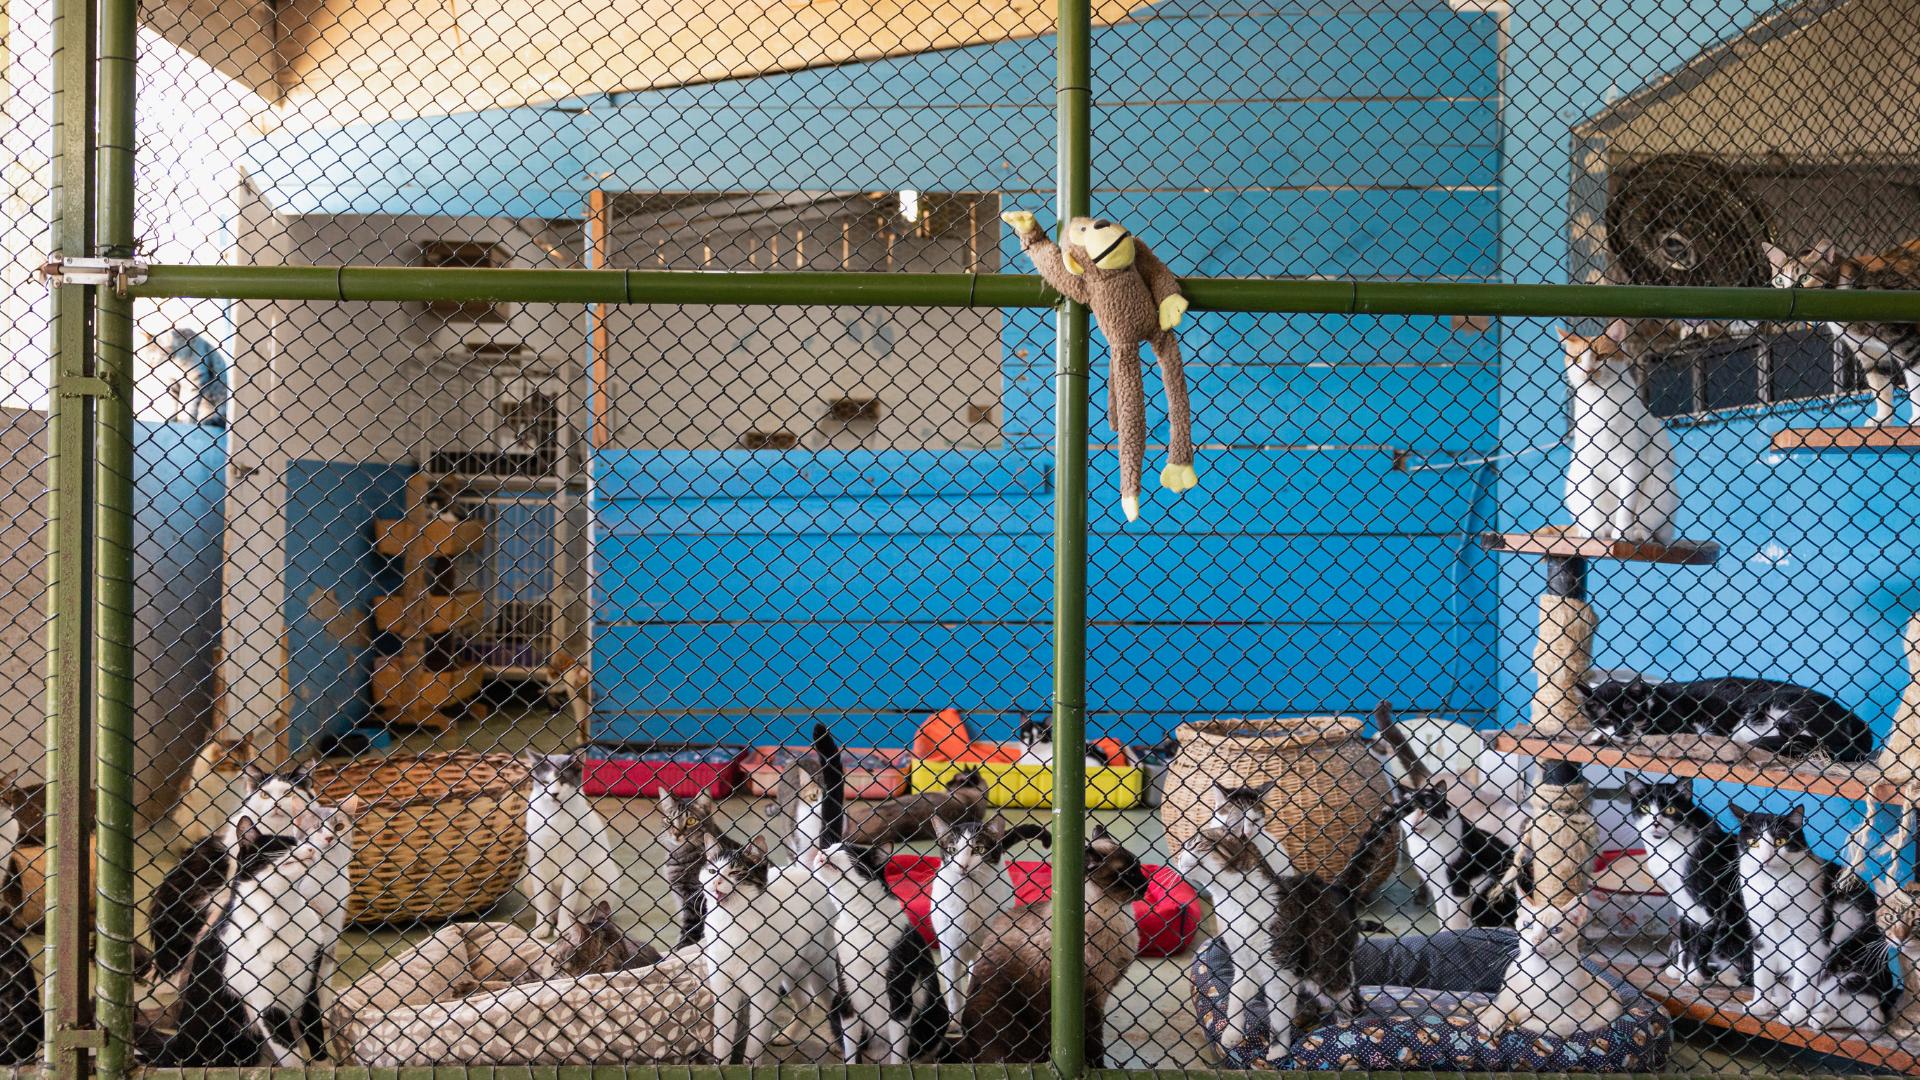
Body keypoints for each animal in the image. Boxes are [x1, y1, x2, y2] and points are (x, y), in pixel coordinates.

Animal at [956, 822, 1144, 1060]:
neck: (1118, 914)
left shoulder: (1103, 991)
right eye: (1128, 874)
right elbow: (1094, 1045)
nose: (1146, 885)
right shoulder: (1092, 999)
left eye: (1139, 868)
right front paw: (1098, 1065)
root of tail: (967, 1046)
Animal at [1566, 317, 1674, 538]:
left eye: (1600, 356)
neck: (1600, 402)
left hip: (1659, 484)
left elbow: (1625, 505)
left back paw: (1639, 533)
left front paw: (1622, 533)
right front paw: (1595, 532)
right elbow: (1594, 504)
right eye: (1577, 360)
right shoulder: (1589, 463)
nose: (1588, 371)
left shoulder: (1631, 462)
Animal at [1620, 772, 1758, 983]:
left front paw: (1694, 976)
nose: (1655, 822)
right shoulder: (1682, 903)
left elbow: (1701, 944)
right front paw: (1679, 970)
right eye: (1645, 808)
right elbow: (1686, 939)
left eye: (1670, 809)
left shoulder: (1711, 904)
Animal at [1728, 807, 1889, 1022]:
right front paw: (1760, 1004)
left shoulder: (1810, 940)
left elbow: (1803, 980)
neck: (1773, 886)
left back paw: (1818, 1018)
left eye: (1780, 841)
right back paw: (1778, 1002)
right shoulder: (1760, 935)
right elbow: (1762, 973)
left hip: (1845, 973)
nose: (1766, 858)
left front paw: (1795, 1015)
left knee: (1864, 1017)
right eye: (1754, 842)